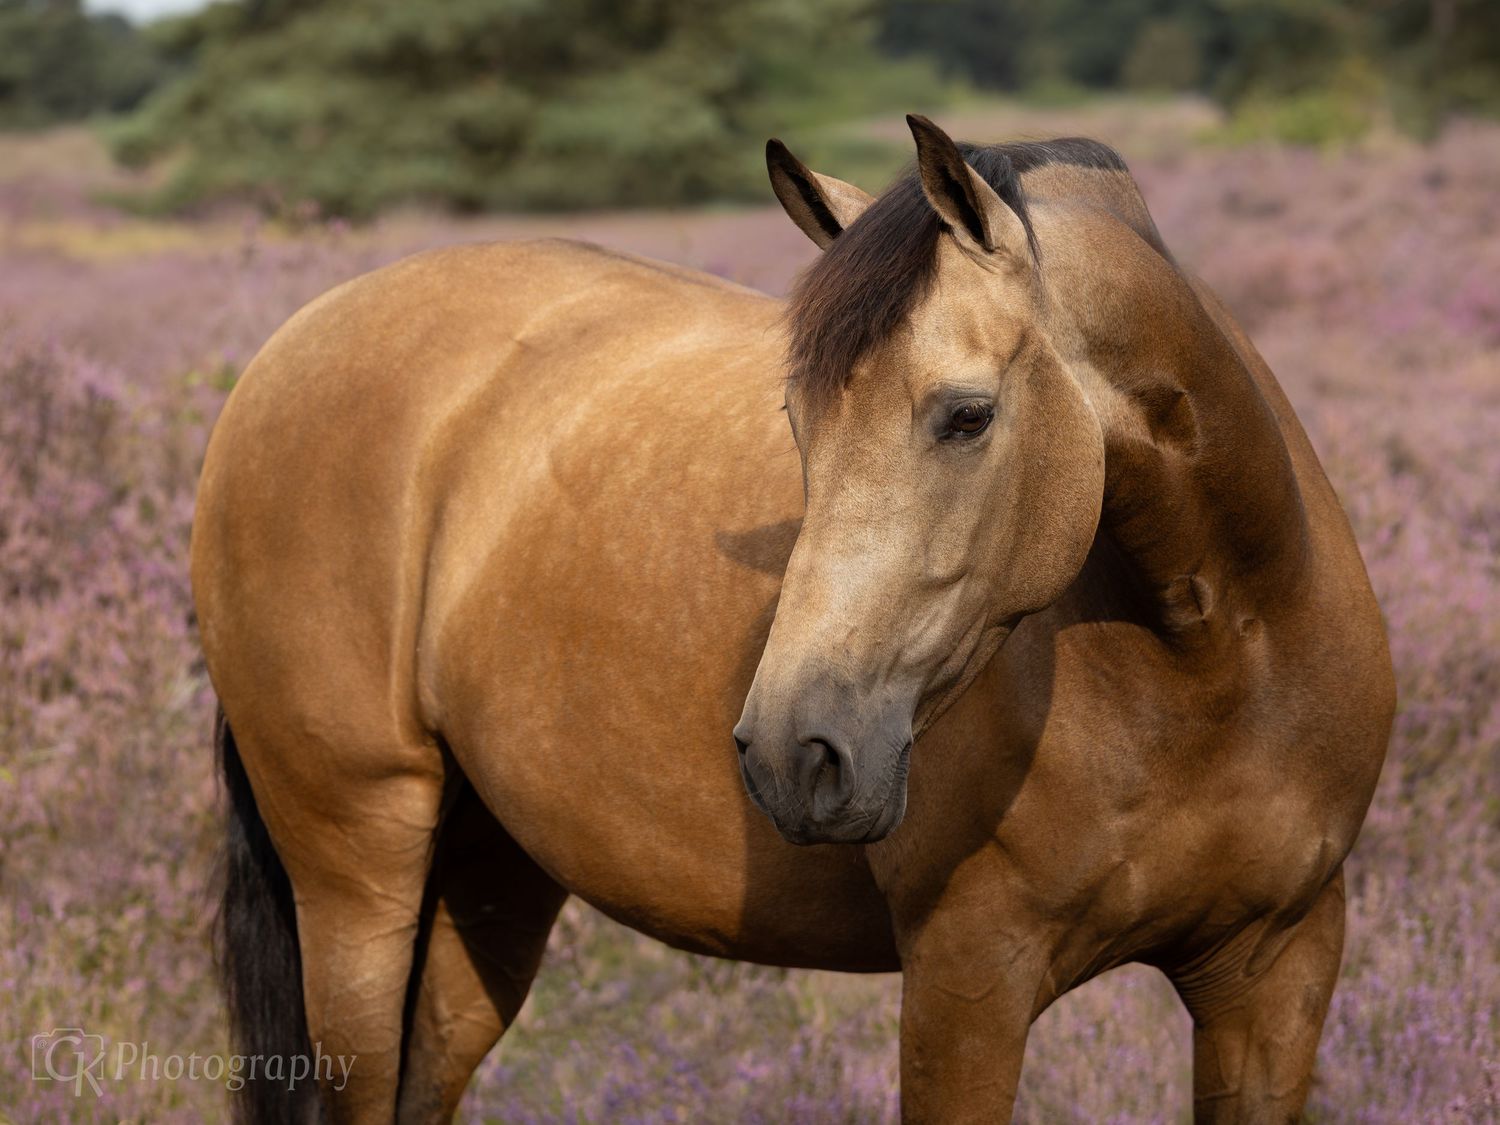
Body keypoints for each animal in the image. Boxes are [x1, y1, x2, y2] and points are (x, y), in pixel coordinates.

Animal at [191, 115, 1393, 1123]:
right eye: (796, 419)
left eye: (967, 416)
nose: (790, 752)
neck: (1215, 658)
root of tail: (286, 349)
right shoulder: (968, 980)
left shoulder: (1276, 972)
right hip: (357, 874)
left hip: (490, 872)